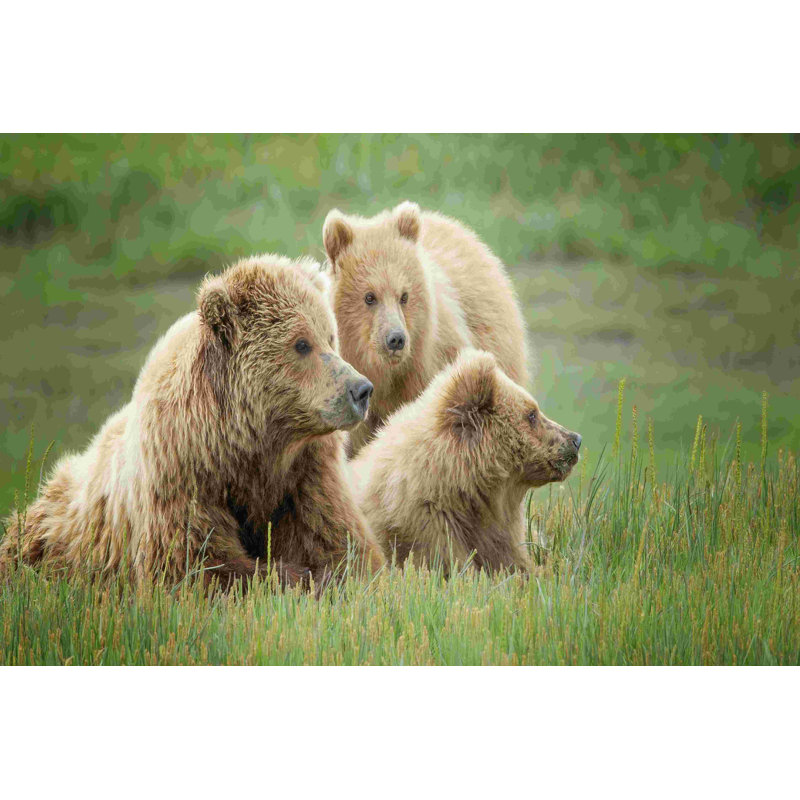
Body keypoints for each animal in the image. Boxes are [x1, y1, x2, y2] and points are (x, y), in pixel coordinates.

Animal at [0, 254, 385, 589]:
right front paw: (296, 575)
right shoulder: (184, 475)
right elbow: (199, 567)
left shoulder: (306, 477)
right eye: (301, 343)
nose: (361, 389)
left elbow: (339, 545)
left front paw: (329, 574)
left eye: (330, 336)